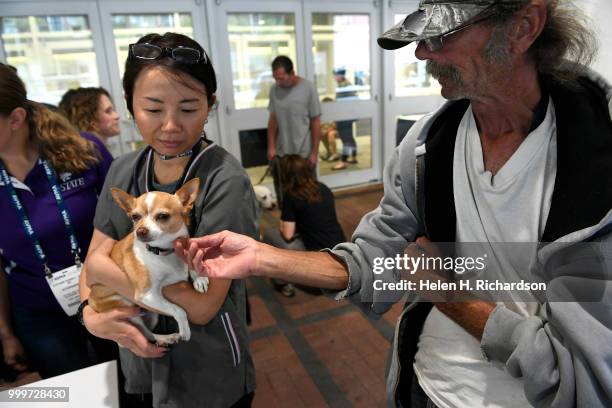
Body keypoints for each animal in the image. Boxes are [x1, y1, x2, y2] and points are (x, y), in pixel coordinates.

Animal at [88, 178, 207, 344]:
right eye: (135, 217)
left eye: (162, 216)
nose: (140, 231)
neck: (164, 252)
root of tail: (91, 300)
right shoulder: (147, 295)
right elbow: (178, 310)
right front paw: (185, 330)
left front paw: (199, 277)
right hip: (126, 305)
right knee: (145, 333)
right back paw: (166, 337)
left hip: (151, 313)